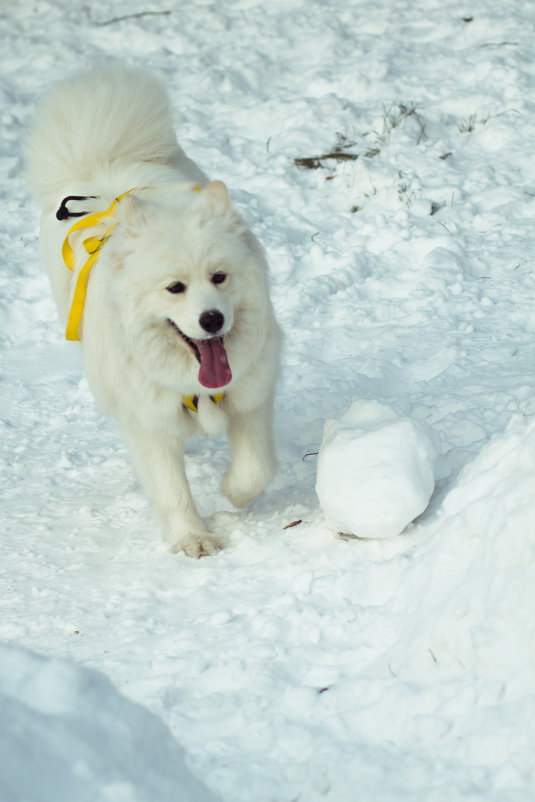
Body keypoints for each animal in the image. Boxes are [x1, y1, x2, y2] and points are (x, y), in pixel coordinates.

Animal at [25, 62, 282, 556]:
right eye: (175, 288)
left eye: (219, 277)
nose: (212, 320)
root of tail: (103, 163)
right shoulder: (148, 421)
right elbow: (171, 488)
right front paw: (194, 539)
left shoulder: (251, 394)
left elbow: (256, 467)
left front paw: (233, 492)